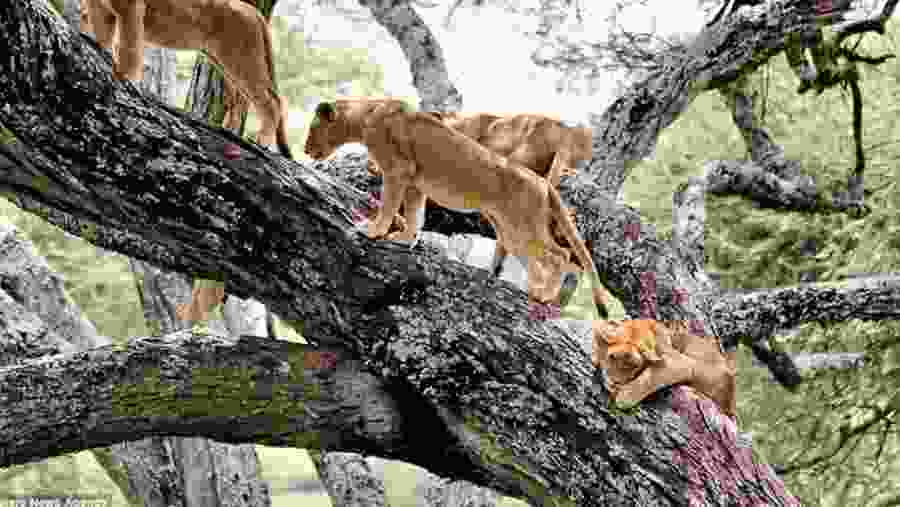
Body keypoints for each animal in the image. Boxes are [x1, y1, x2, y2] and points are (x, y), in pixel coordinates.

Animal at [79, 0, 292, 158]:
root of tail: (253, 10)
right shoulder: (99, 9)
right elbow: (102, 37)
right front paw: (97, 50)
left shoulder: (130, 10)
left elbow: (127, 49)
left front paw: (121, 78)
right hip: (224, 62)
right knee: (241, 100)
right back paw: (230, 131)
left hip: (241, 58)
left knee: (272, 101)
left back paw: (261, 141)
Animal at [304, 100, 609, 315]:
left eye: (312, 128)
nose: (305, 150)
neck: (367, 113)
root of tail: (543, 183)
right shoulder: (414, 183)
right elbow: (414, 214)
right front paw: (404, 239)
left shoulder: (397, 170)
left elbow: (390, 205)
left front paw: (373, 231)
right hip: (510, 231)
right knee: (542, 260)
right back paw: (535, 291)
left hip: (523, 225)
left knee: (561, 256)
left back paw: (544, 295)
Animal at [592, 319, 737, 419]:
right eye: (612, 357)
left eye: (635, 366)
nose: (615, 383)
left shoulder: (681, 363)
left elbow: (649, 378)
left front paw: (624, 398)